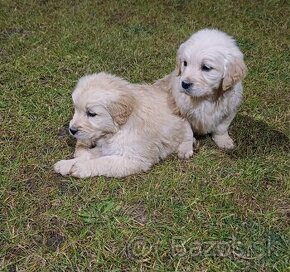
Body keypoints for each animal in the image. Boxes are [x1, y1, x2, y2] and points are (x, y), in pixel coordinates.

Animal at [54, 72, 195, 178]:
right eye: (76, 109)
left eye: (91, 114)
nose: (72, 130)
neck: (119, 128)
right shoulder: (108, 147)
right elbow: (91, 155)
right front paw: (66, 164)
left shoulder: (134, 159)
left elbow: (104, 161)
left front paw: (81, 167)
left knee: (189, 135)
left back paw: (185, 149)